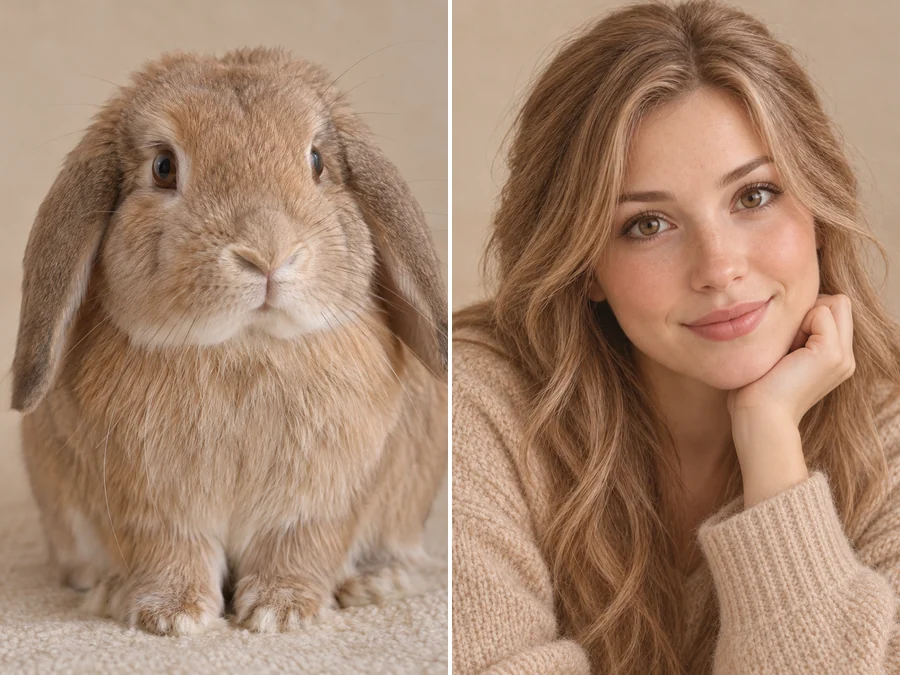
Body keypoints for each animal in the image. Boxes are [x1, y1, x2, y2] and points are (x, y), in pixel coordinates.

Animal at [9, 46, 448, 636]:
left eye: (316, 161)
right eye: (164, 167)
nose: (267, 254)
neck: (245, 345)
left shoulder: (319, 505)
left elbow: (297, 549)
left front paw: (280, 612)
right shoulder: (150, 511)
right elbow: (170, 555)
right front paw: (171, 616)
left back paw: (376, 584)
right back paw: (107, 591)